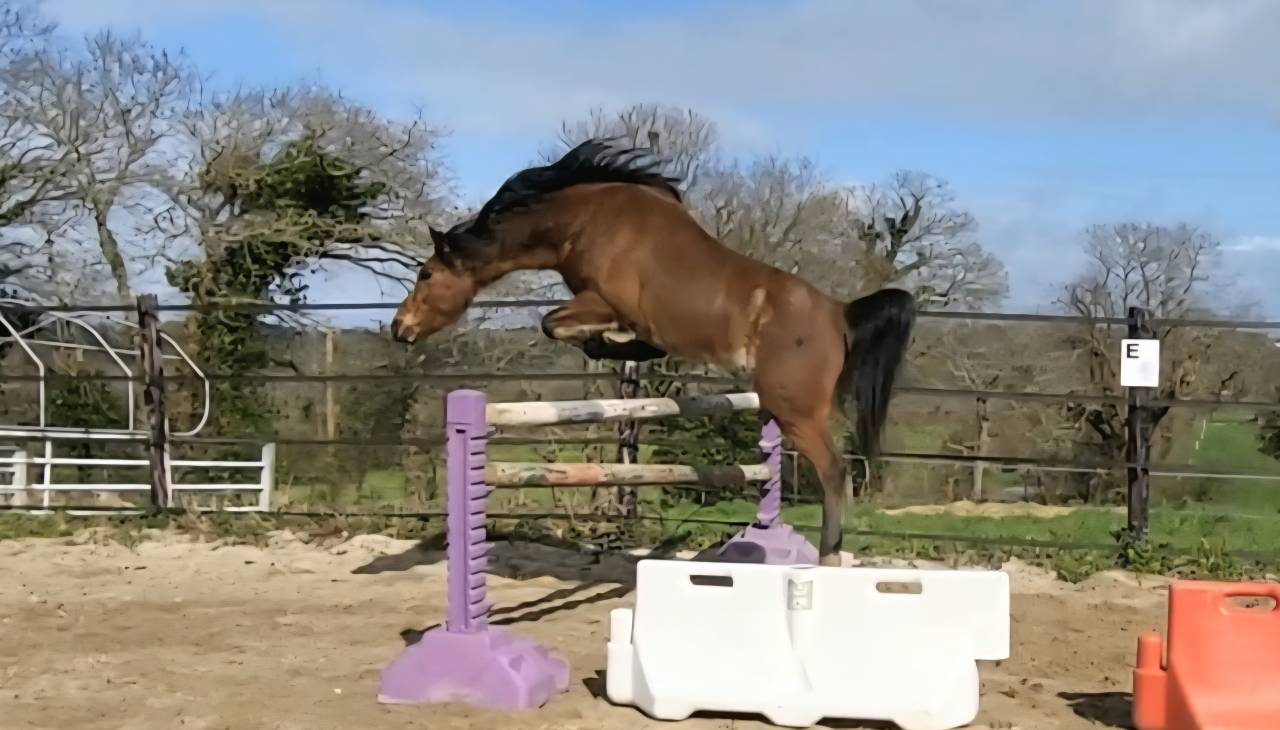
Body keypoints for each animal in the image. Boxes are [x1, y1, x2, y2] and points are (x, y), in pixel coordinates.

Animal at [391, 138, 915, 567]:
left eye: (427, 274)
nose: (400, 329)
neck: (583, 220)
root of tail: (840, 313)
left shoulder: (604, 302)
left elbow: (554, 324)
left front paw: (616, 346)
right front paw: (632, 350)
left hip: (795, 410)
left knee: (834, 472)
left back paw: (829, 557)